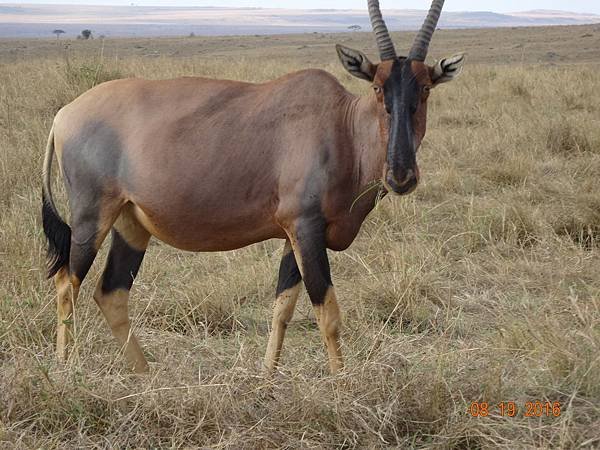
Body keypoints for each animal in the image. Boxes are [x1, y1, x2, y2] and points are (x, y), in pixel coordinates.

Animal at [42, 0, 464, 372]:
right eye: (377, 87)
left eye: (426, 87)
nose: (401, 174)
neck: (338, 121)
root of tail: (63, 115)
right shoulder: (306, 228)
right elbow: (327, 312)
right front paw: (343, 389)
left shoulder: (295, 234)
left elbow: (283, 308)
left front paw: (266, 380)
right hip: (91, 218)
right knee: (67, 283)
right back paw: (66, 371)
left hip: (131, 224)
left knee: (110, 292)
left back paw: (147, 379)